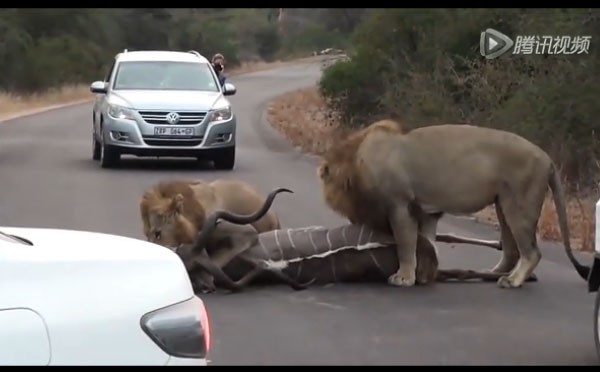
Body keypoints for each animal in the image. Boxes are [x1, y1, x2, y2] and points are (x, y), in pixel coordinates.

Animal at [318, 119, 592, 288]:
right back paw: (496, 273)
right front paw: (422, 273)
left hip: (519, 204)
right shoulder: (426, 212)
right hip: (503, 203)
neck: (357, 160)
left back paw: (512, 281)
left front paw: (404, 277)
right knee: (511, 250)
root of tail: (547, 158)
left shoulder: (400, 205)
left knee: (531, 252)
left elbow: (405, 245)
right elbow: (426, 243)